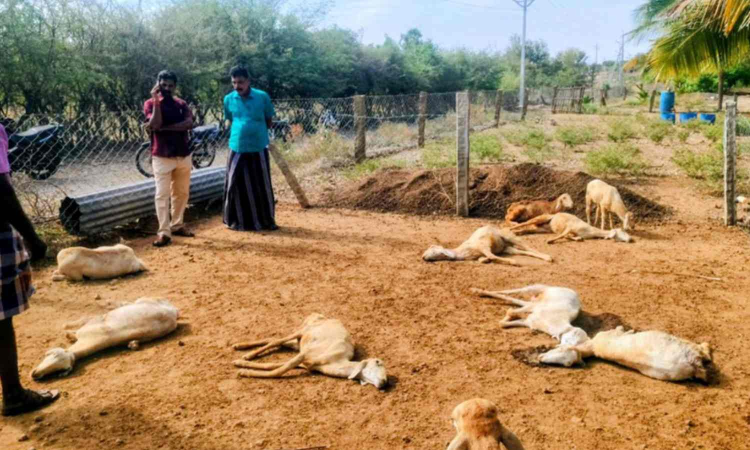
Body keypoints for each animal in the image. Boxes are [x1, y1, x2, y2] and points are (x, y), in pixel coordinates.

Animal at [31, 298, 179, 379]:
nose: (34, 375)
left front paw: (68, 332)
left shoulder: (88, 327)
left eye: (61, 369)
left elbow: (80, 324)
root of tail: (174, 309)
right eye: (52, 355)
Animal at [232, 313, 388, 389]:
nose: (385, 382)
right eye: (378, 362)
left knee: (273, 339)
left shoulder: (306, 363)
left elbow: (274, 365)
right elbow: (278, 370)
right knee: (276, 341)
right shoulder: (305, 355)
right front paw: (243, 371)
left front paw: (242, 367)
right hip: (303, 331)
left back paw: (239, 348)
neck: (336, 361)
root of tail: (320, 315)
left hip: (298, 342)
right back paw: (245, 354)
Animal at [422, 226, 552, 266]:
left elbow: (492, 256)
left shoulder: (483, 246)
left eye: (432, 250)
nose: (423, 257)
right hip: (507, 248)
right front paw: (485, 260)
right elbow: (484, 258)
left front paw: (513, 262)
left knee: (527, 247)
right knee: (524, 251)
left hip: (509, 236)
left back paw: (549, 257)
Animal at [539, 326, 713, 382]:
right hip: (685, 346)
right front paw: (628, 330)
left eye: (559, 352)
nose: (540, 358)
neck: (593, 347)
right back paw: (707, 346)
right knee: (702, 351)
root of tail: (692, 365)